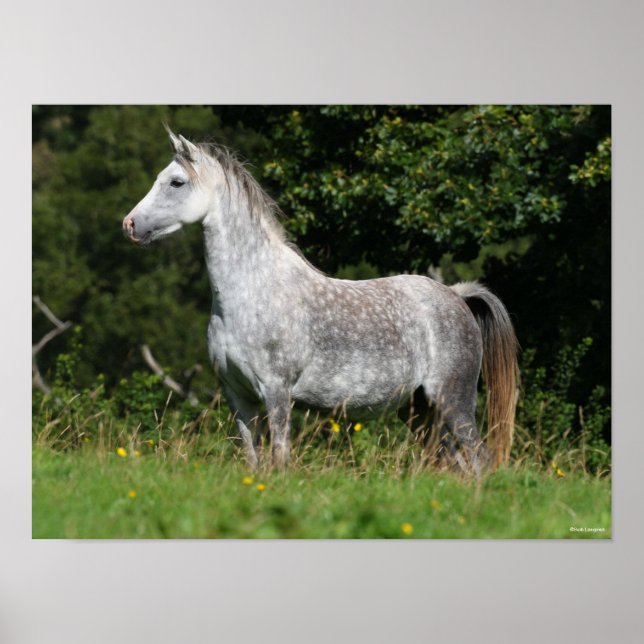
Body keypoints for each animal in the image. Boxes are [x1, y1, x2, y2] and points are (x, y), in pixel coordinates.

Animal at [123, 129, 519, 474]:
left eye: (176, 182)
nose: (129, 224)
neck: (253, 292)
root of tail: (457, 295)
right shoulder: (239, 397)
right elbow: (253, 461)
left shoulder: (277, 393)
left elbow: (280, 459)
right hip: (420, 410)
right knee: (456, 464)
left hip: (453, 401)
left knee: (479, 459)